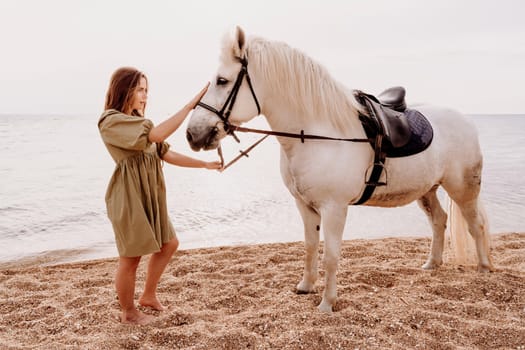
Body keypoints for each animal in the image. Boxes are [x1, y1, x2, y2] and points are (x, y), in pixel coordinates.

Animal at [186, 26, 494, 312]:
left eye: (222, 81)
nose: (192, 134)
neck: (317, 133)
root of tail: (466, 120)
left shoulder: (334, 208)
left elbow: (331, 255)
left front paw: (326, 303)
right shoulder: (304, 206)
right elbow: (310, 247)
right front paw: (306, 286)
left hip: (462, 189)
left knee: (475, 224)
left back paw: (483, 269)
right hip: (427, 190)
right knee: (439, 220)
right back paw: (432, 264)